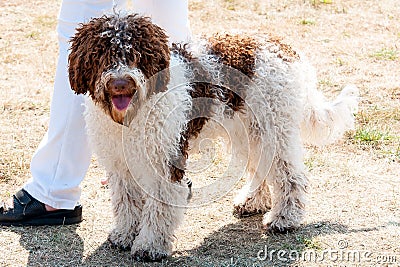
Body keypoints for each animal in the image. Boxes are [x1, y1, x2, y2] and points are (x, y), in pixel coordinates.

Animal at [67, 14, 358, 262]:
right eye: (100, 56)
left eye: (136, 56)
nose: (120, 84)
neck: (131, 116)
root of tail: (283, 47)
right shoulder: (121, 166)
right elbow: (126, 203)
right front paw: (125, 235)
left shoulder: (166, 162)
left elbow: (158, 209)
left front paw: (150, 246)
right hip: (248, 131)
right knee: (261, 167)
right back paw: (253, 202)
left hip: (273, 128)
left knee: (291, 176)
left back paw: (285, 218)